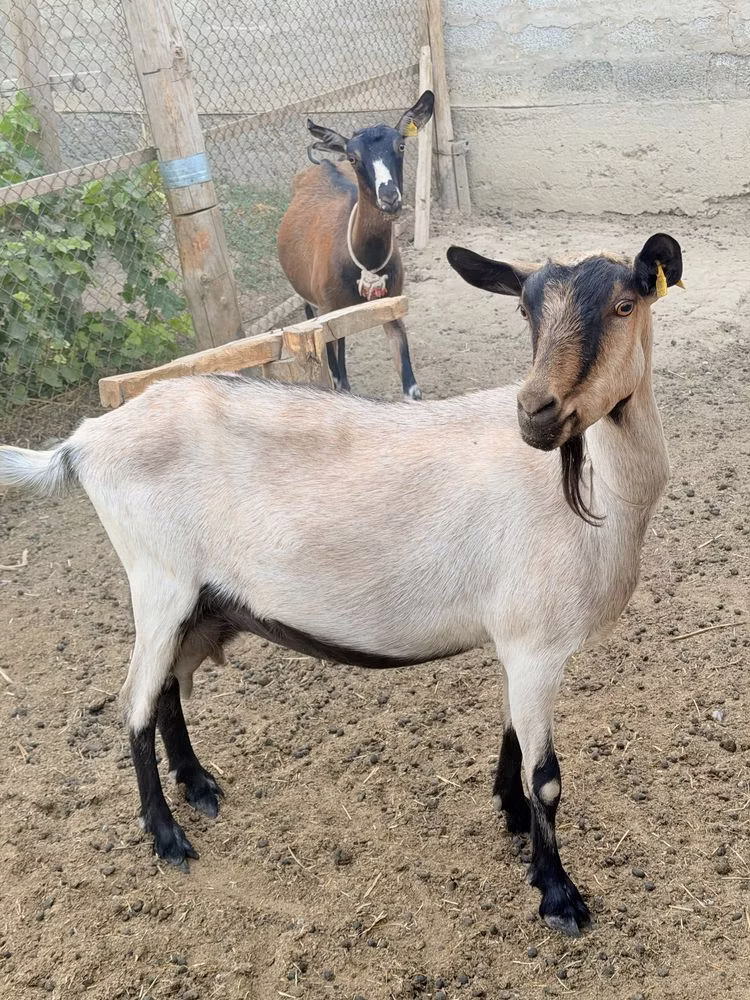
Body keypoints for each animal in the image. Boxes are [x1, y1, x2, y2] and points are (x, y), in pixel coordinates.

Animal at [0, 232, 682, 936]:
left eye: (626, 304)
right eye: (525, 311)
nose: (538, 414)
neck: (602, 492)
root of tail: (82, 443)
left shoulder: (520, 646)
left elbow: (515, 740)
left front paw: (512, 818)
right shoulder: (535, 643)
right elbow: (544, 775)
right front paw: (558, 894)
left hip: (197, 602)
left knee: (164, 687)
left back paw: (199, 786)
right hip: (158, 580)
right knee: (134, 700)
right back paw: (168, 838)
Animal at [277, 91, 434, 399]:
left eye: (400, 145)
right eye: (353, 157)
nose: (389, 197)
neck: (365, 263)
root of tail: (322, 164)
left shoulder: (392, 304)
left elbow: (411, 388)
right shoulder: (325, 311)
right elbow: (337, 379)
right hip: (311, 301)